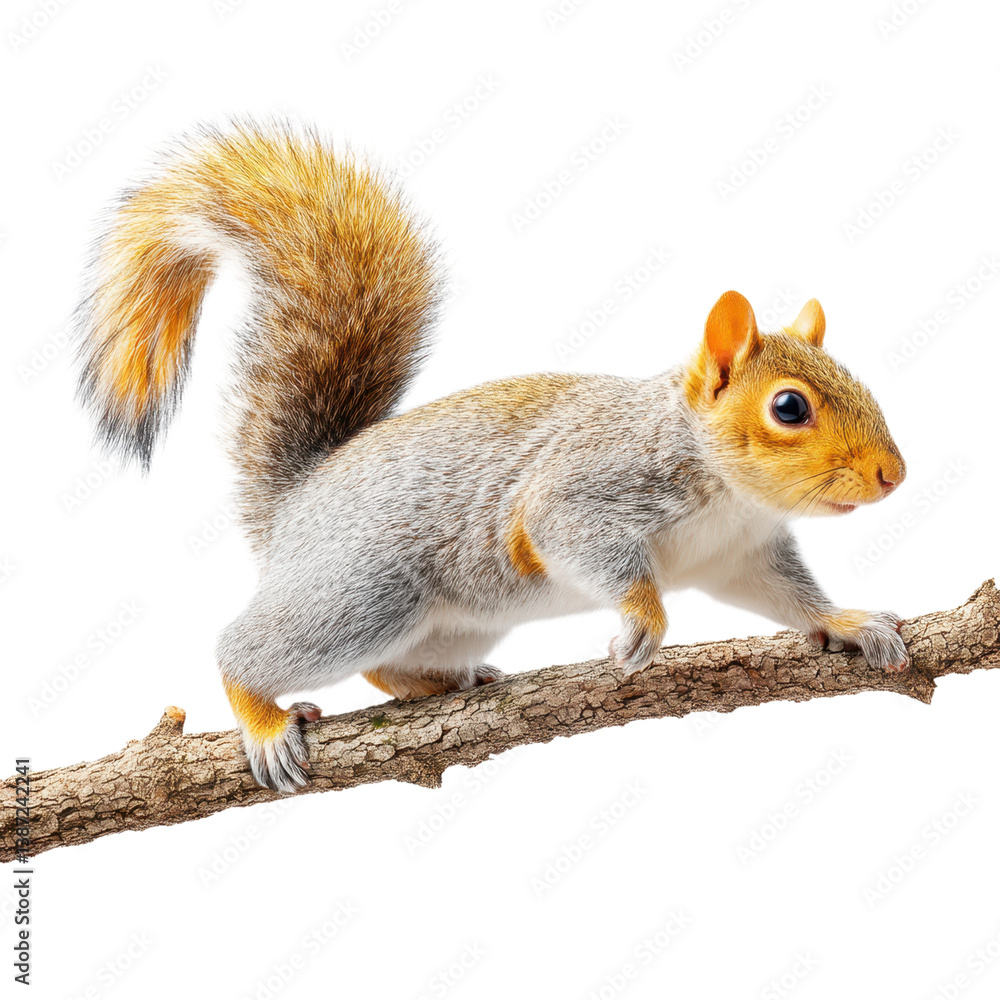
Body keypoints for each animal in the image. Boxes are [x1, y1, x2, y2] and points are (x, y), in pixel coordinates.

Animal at [76, 120, 908, 792]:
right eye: (789, 408)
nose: (893, 476)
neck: (726, 490)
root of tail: (298, 501)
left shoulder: (740, 555)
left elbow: (788, 597)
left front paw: (849, 622)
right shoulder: (584, 489)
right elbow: (577, 539)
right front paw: (643, 620)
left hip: (454, 620)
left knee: (386, 664)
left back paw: (441, 684)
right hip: (360, 594)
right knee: (247, 648)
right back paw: (263, 717)